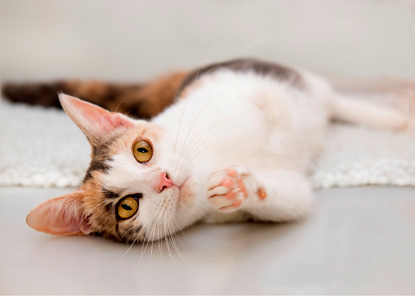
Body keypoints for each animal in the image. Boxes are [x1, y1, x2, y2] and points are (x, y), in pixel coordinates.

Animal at [6, 58, 410, 243]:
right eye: (126, 207)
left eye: (142, 150)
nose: (164, 179)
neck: (206, 164)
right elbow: (293, 199)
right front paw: (240, 188)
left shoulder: (222, 94)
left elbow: (257, 105)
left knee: (336, 101)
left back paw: (398, 116)